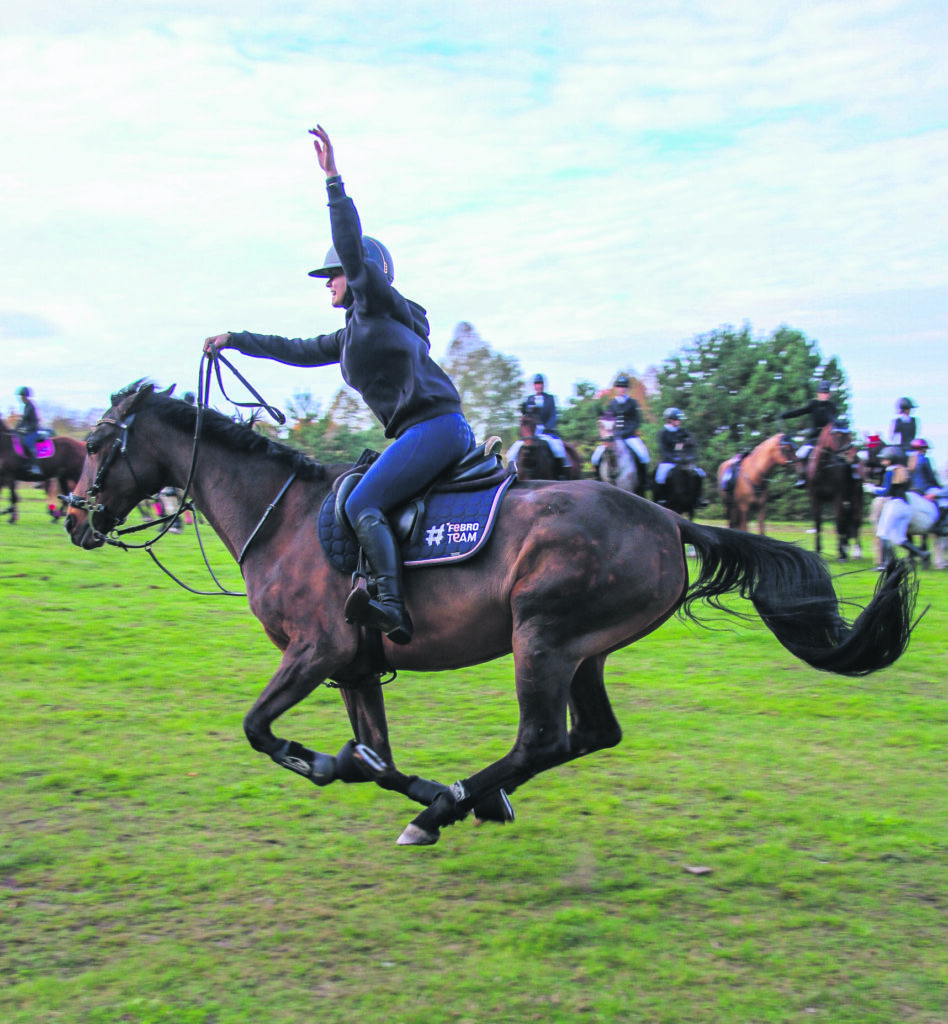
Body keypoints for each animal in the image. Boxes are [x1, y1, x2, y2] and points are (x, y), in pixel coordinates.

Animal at [66, 385, 921, 847]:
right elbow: (376, 758)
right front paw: (394, 781)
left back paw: (455, 803)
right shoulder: (355, 668)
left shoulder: (315, 652)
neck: (283, 520)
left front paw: (336, 768)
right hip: (583, 652)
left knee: (542, 738)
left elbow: (262, 731)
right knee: (589, 734)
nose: (75, 518)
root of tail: (665, 516)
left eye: (102, 441)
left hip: (541, 638)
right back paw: (463, 801)